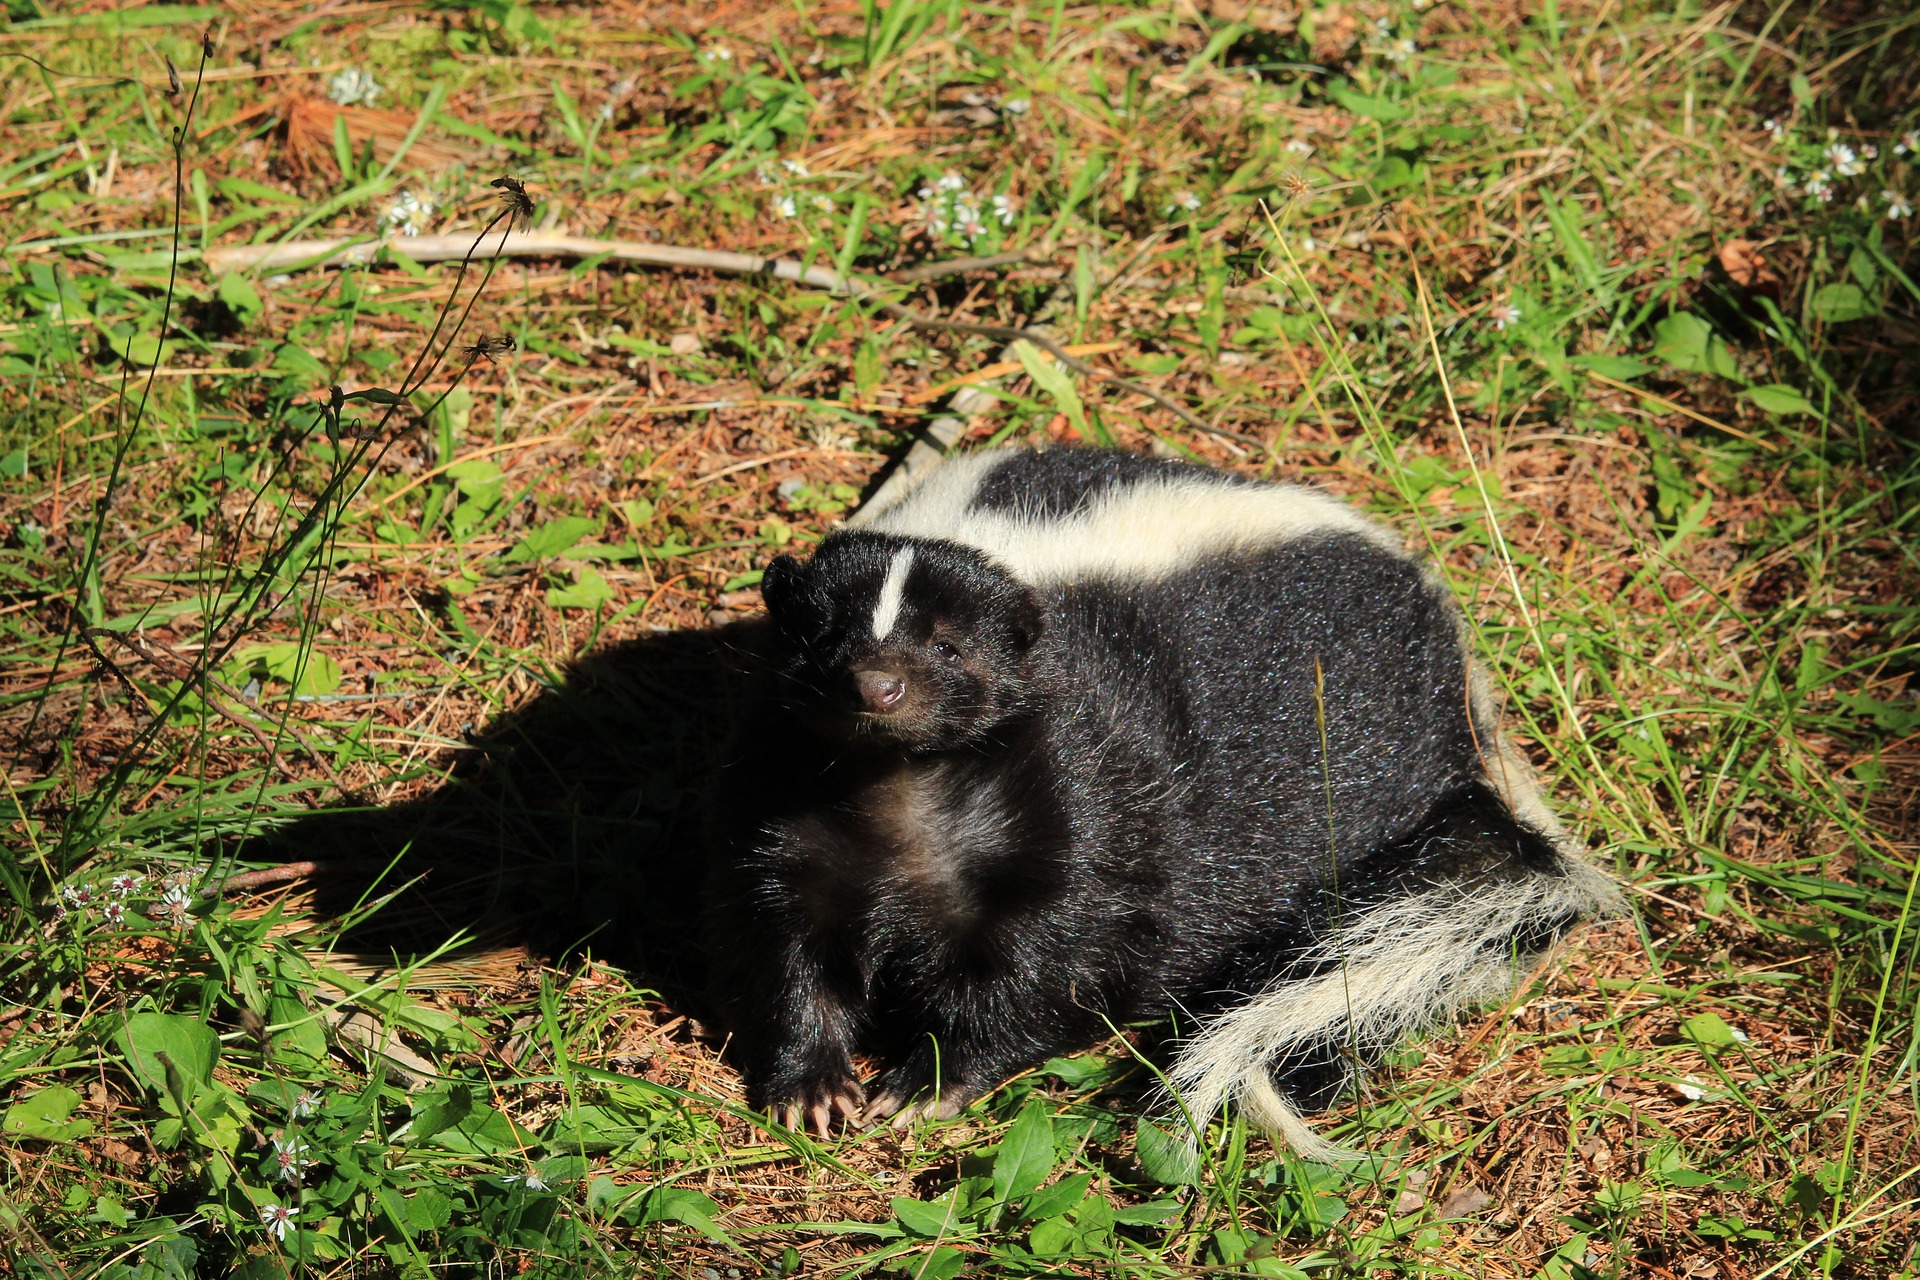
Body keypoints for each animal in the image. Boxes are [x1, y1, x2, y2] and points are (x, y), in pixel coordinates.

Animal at [706, 445, 1620, 1159]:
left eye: (950, 647)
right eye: (823, 637)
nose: (879, 686)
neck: (901, 786)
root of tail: (1465, 673)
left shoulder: (1094, 787)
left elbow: (1059, 950)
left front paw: (930, 1080)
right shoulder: (787, 806)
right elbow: (792, 944)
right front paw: (813, 1086)